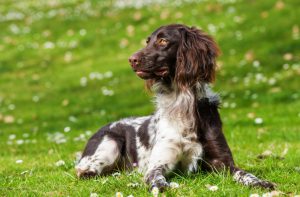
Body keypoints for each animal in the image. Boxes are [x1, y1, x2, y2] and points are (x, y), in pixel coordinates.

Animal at [74, 23, 274, 192]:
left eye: (163, 41)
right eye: (148, 41)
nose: (131, 60)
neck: (182, 103)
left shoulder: (222, 162)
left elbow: (244, 173)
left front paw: (260, 182)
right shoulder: (158, 163)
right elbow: (156, 177)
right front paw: (162, 186)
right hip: (110, 143)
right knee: (84, 172)